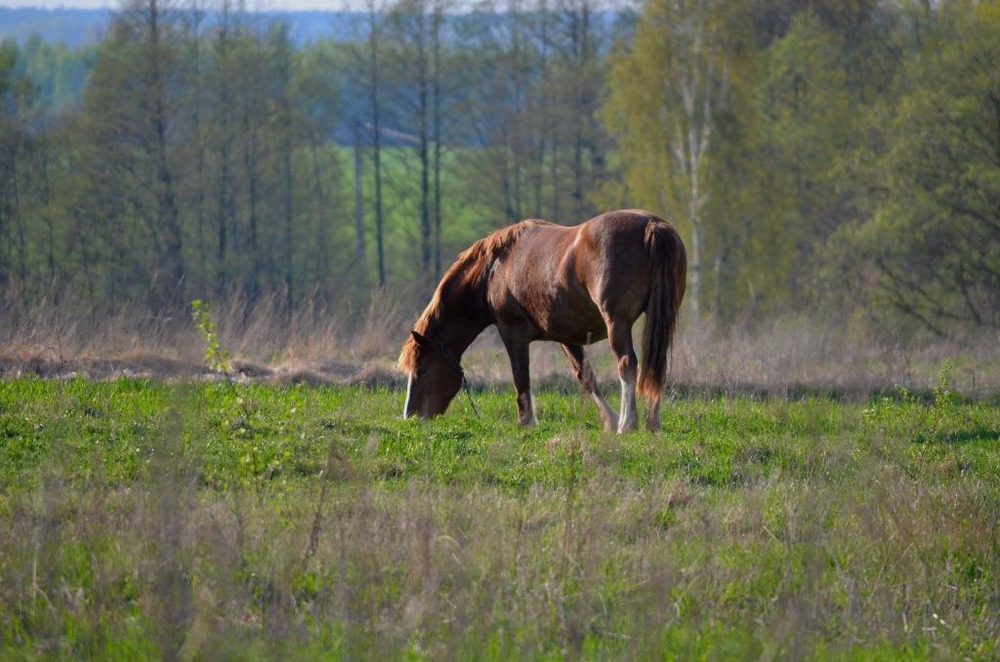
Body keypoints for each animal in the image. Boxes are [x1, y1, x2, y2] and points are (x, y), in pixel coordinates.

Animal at [398, 210, 688, 434]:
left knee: (628, 364)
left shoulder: (512, 332)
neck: (494, 269)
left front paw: (526, 421)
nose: (410, 416)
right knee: (656, 367)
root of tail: (651, 225)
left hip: (618, 324)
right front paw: (609, 419)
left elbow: (521, 377)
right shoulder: (566, 337)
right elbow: (585, 377)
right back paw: (652, 423)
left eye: (422, 369)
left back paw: (628, 424)